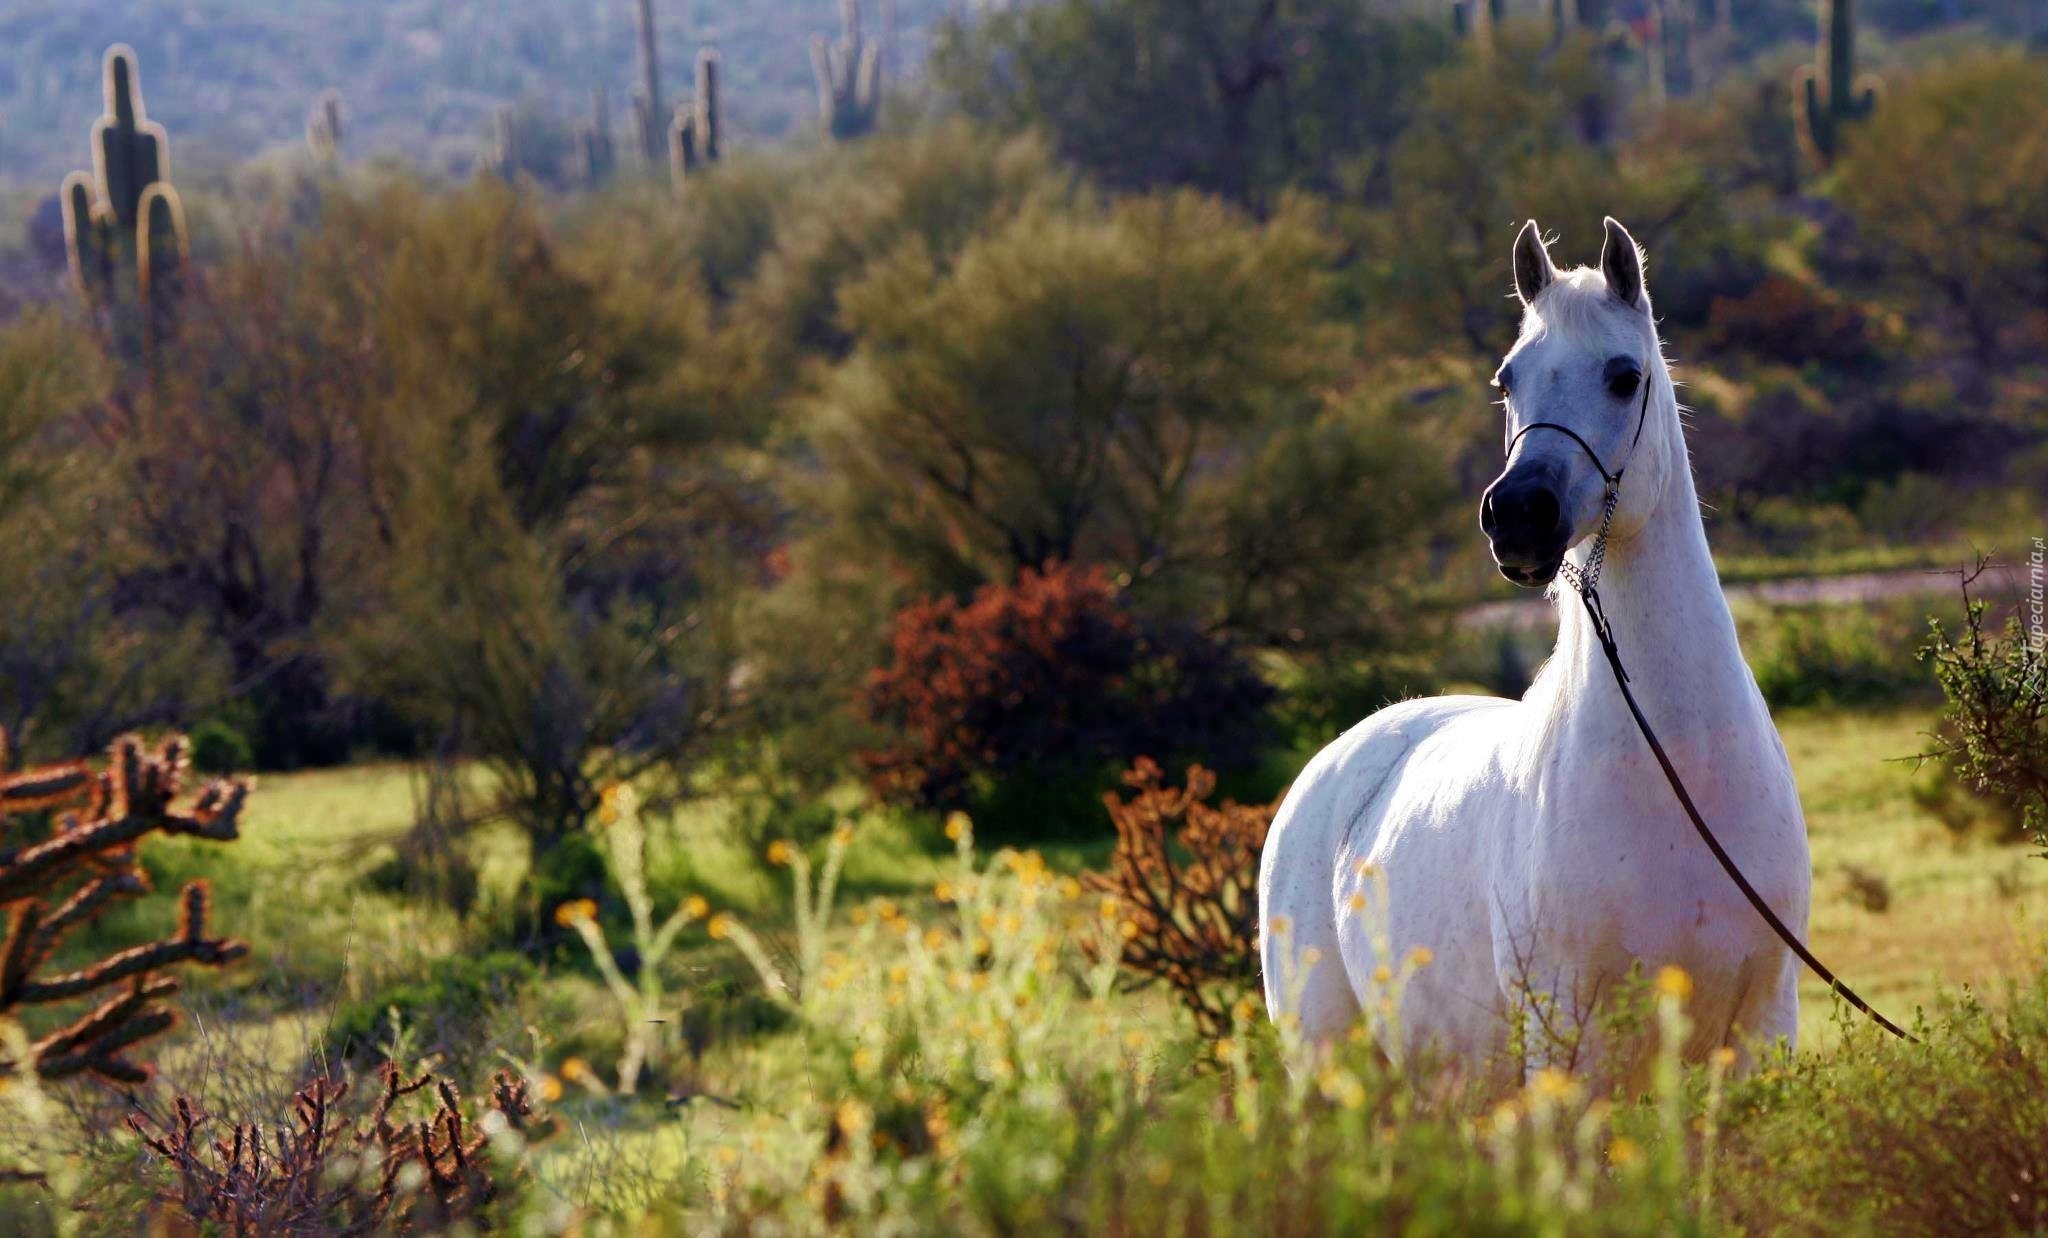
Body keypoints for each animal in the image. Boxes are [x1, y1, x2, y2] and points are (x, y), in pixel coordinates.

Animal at [1261, 222, 1810, 1082]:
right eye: (1507, 380)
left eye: (1624, 377)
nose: (1517, 514)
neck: (1680, 763)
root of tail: (1333, 763)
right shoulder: (1568, 1040)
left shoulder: (1761, 1029)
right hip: (1329, 1066)